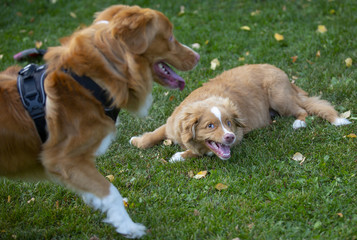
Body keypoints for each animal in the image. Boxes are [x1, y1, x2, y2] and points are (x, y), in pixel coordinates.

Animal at [0, 4, 199, 238]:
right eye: (169, 36)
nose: (197, 56)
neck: (91, 82)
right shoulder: (64, 159)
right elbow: (109, 191)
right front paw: (129, 226)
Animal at [131, 63, 350, 162]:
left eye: (229, 123)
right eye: (210, 125)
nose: (230, 137)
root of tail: (283, 74)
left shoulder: (238, 137)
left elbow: (201, 151)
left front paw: (179, 155)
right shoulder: (171, 123)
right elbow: (155, 133)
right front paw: (138, 141)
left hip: (279, 97)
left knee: (302, 110)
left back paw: (299, 123)